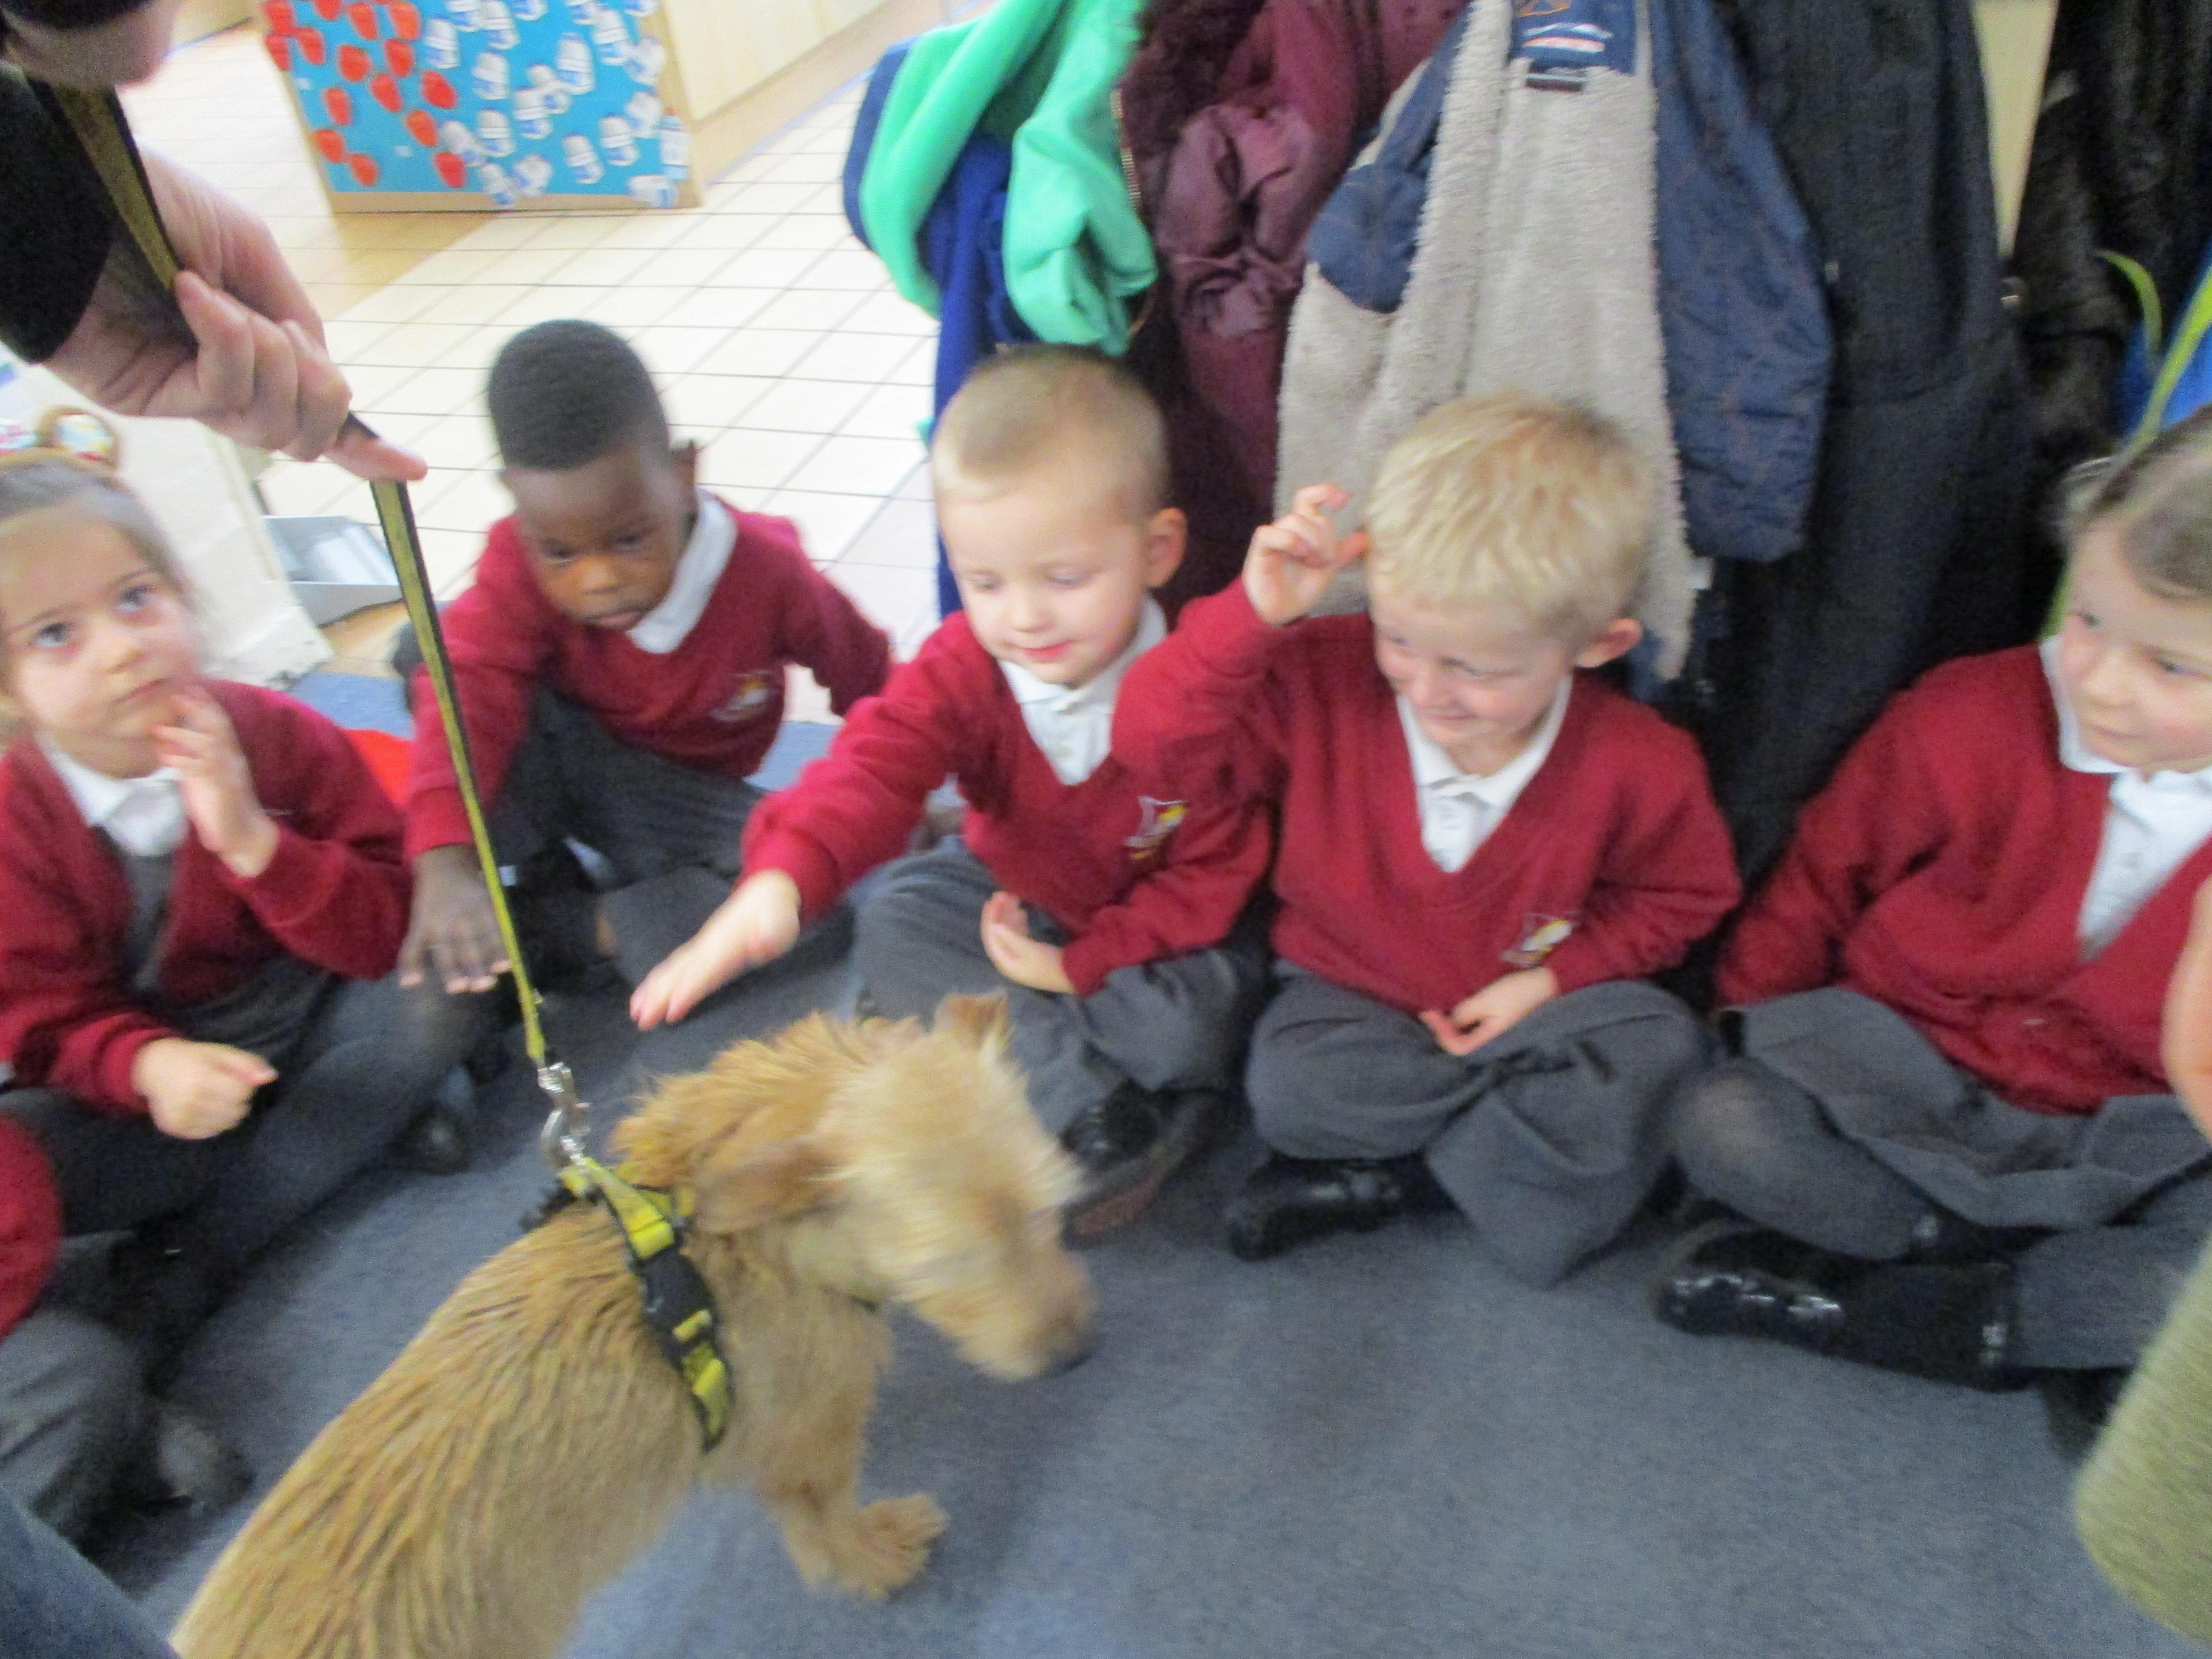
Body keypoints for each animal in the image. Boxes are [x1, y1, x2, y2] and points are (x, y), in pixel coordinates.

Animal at [171, 996, 1094, 1659]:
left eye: (1050, 1203)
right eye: (951, 1261)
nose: (1075, 1354)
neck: (724, 1227)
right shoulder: (811, 1439)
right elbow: (826, 1521)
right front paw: (873, 1554)